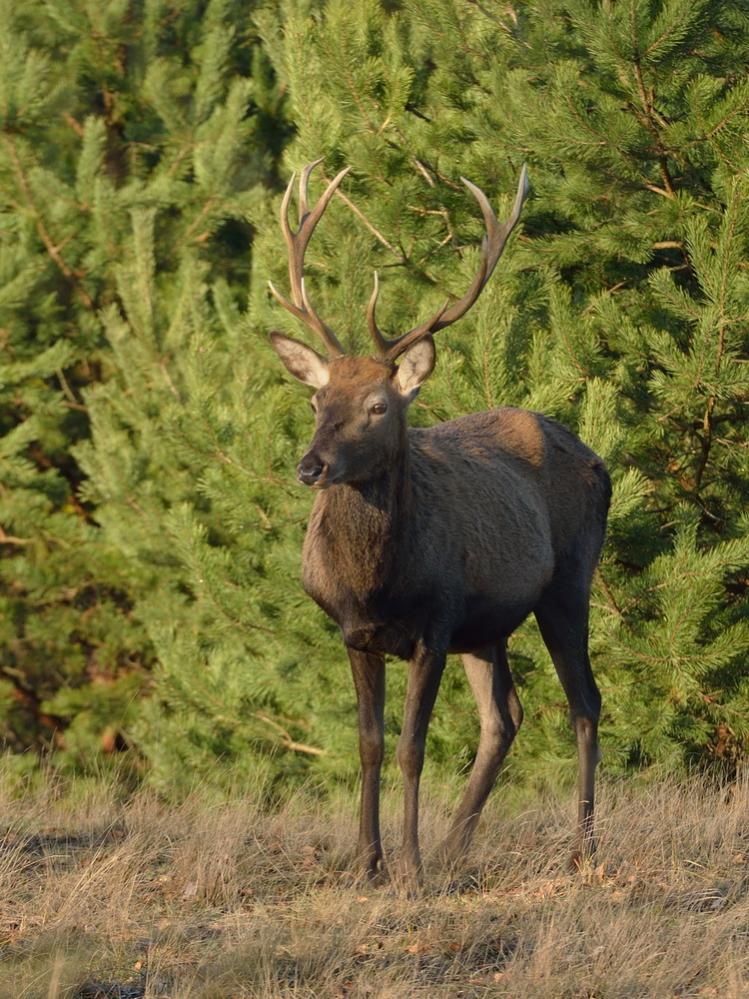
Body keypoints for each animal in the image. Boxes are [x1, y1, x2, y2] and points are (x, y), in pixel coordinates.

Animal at [268, 160, 611, 883]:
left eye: (377, 405)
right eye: (317, 399)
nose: (311, 466)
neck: (375, 583)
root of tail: (597, 458)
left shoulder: (435, 620)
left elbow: (410, 747)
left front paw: (410, 868)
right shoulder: (355, 632)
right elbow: (369, 745)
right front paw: (367, 863)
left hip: (567, 582)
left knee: (584, 703)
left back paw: (581, 847)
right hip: (487, 624)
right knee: (504, 716)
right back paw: (457, 847)